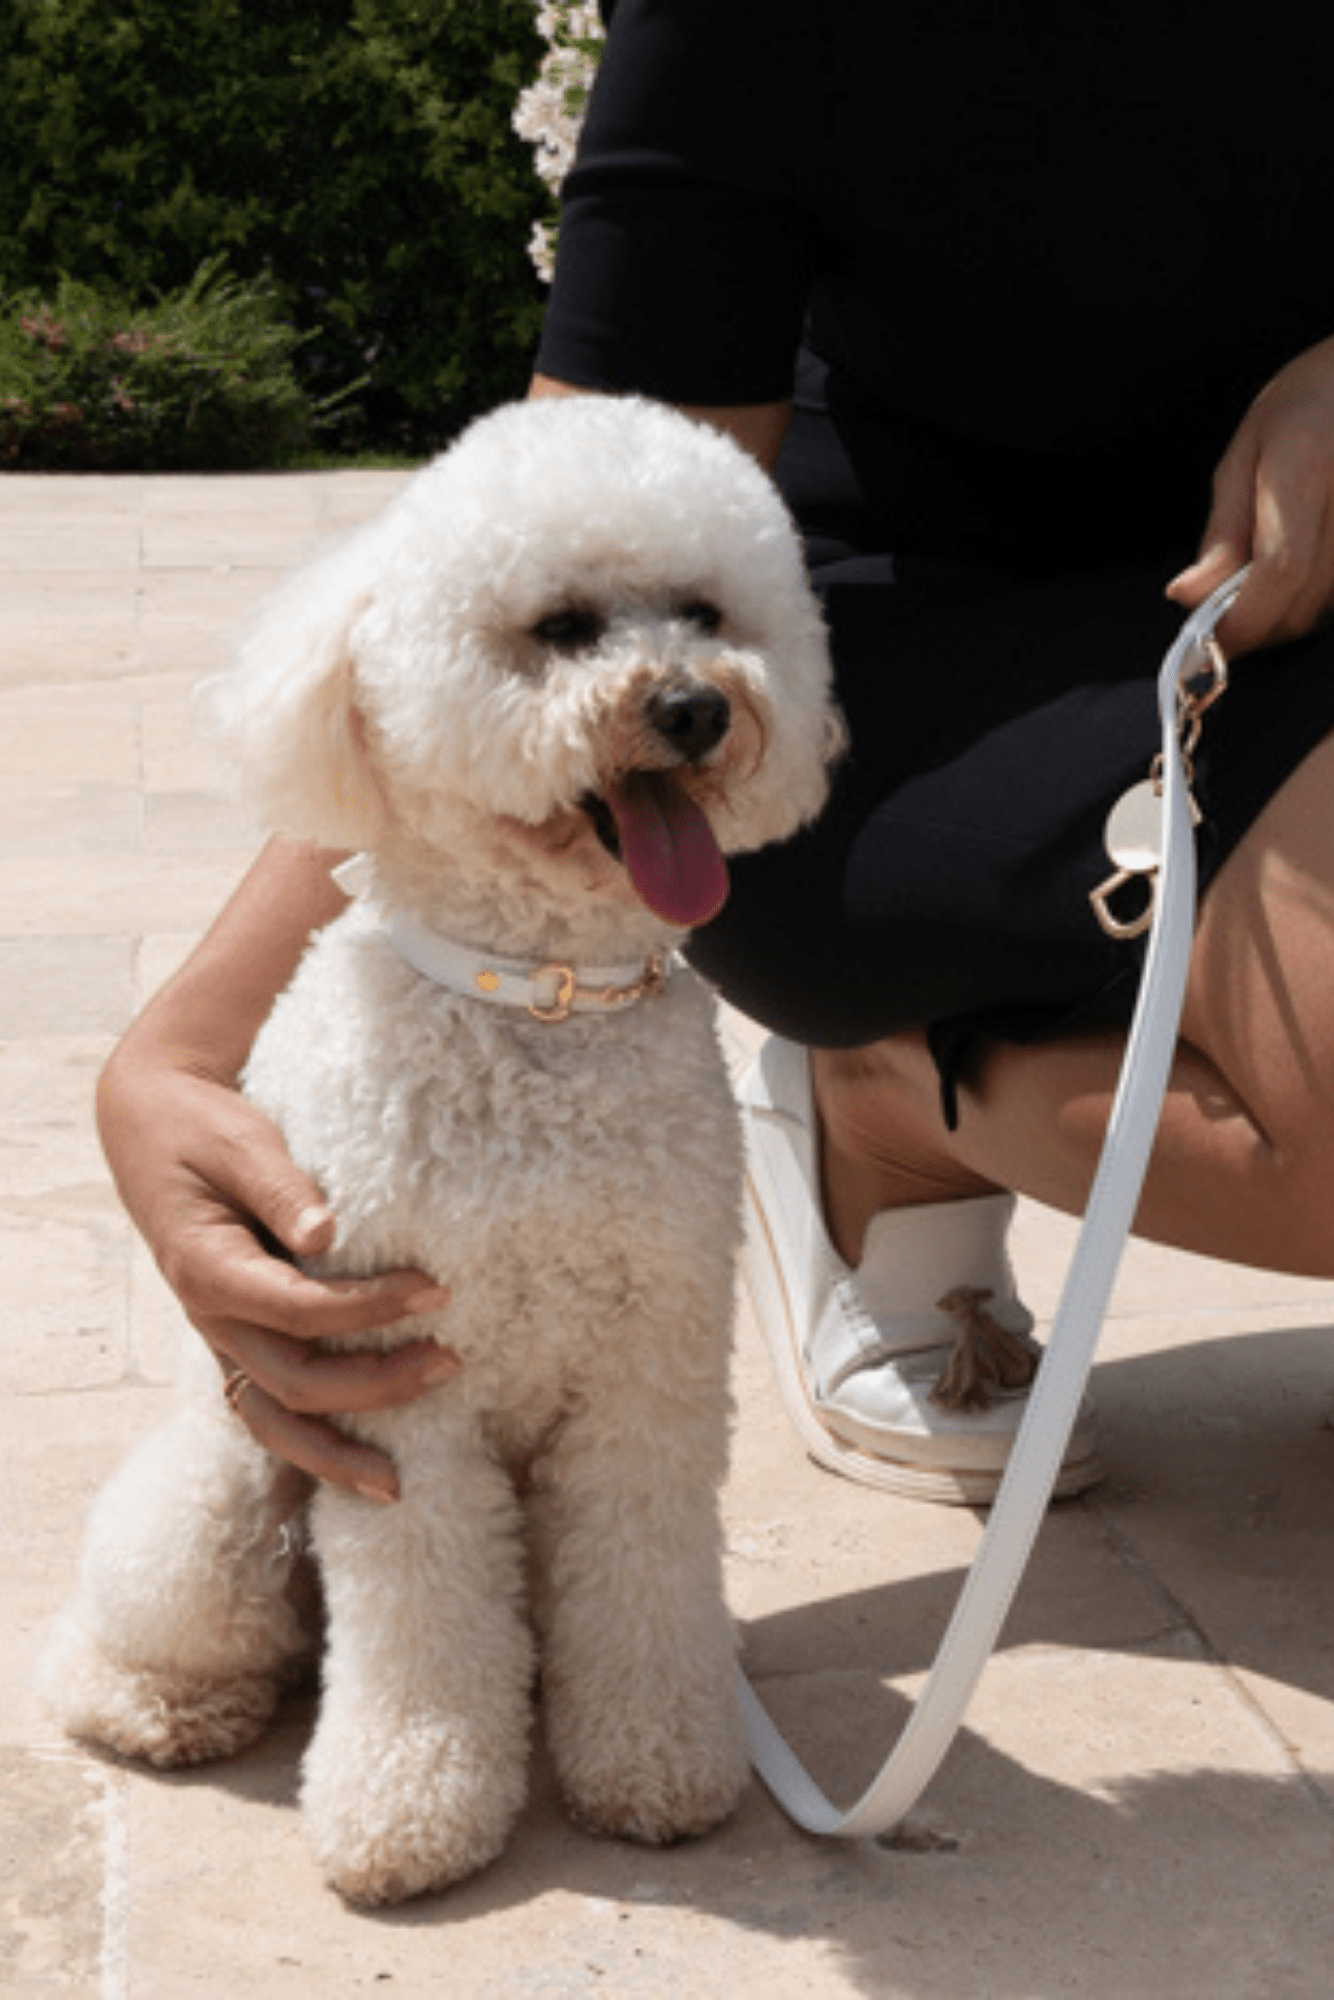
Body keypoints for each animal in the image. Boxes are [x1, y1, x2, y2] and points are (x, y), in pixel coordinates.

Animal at [36, 394, 840, 1904]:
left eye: (706, 613)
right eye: (563, 626)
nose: (696, 707)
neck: (539, 1003)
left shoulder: (646, 1376)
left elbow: (642, 1573)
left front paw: (653, 1763)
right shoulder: (402, 1398)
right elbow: (416, 1614)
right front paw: (408, 1810)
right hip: (224, 1492)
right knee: (143, 1633)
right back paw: (160, 1701)